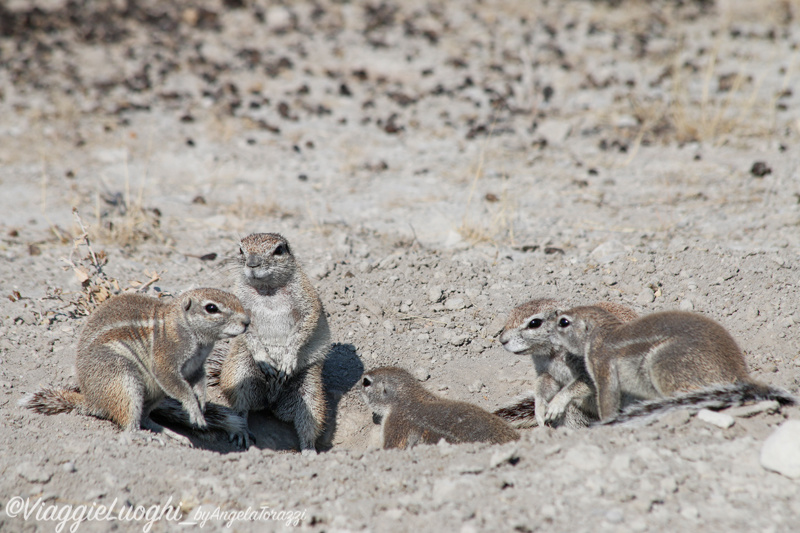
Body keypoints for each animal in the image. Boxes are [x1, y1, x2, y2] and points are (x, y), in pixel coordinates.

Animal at [21, 286, 250, 444]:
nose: (247, 322)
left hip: (156, 393)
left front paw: (201, 401)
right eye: (211, 308)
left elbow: (199, 381)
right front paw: (194, 409)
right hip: (123, 379)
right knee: (130, 424)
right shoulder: (165, 359)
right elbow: (177, 384)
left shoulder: (196, 366)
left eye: (236, 298)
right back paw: (144, 437)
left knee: (145, 418)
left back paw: (172, 435)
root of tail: (93, 401)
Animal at [209, 233, 332, 454]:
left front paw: (288, 359)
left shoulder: (308, 298)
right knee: (240, 409)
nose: (252, 263)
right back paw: (241, 432)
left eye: (279, 250)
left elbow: (306, 324)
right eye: (241, 250)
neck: (267, 290)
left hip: (311, 393)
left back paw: (309, 450)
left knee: (308, 425)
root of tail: (270, 403)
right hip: (239, 374)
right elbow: (248, 333)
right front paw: (264, 359)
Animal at [494, 300, 636, 428]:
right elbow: (543, 386)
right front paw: (539, 409)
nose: (502, 340)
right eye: (510, 314)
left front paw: (557, 401)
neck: (554, 354)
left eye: (534, 323)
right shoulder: (547, 371)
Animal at [552, 306, 796, 422]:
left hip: (664, 365)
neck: (601, 331)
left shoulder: (601, 362)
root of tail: (738, 373)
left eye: (563, 322)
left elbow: (607, 397)